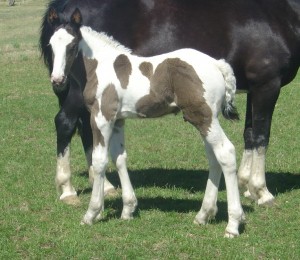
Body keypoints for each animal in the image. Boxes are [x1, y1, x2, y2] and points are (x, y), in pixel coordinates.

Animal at [39, 0, 300, 206]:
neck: (278, 12)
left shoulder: (255, 88)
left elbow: (249, 134)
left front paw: (245, 184)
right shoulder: (267, 85)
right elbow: (261, 135)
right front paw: (261, 190)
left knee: (84, 128)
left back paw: (105, 185)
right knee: (65, 123)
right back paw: (67, 189)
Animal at [49, 8, 245, 238]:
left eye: (72, 45)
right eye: (50, 45)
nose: (57, 80)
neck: (101, 65)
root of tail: (217, 64)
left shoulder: (101, 117)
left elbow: (99, 161)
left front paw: (92, 213)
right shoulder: (118, 120)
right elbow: (119, 158)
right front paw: (128, 209)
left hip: (203, 118)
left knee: (226, 153)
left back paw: (233, 224)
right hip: (206, 119)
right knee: (214, 158)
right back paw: (203, 215)